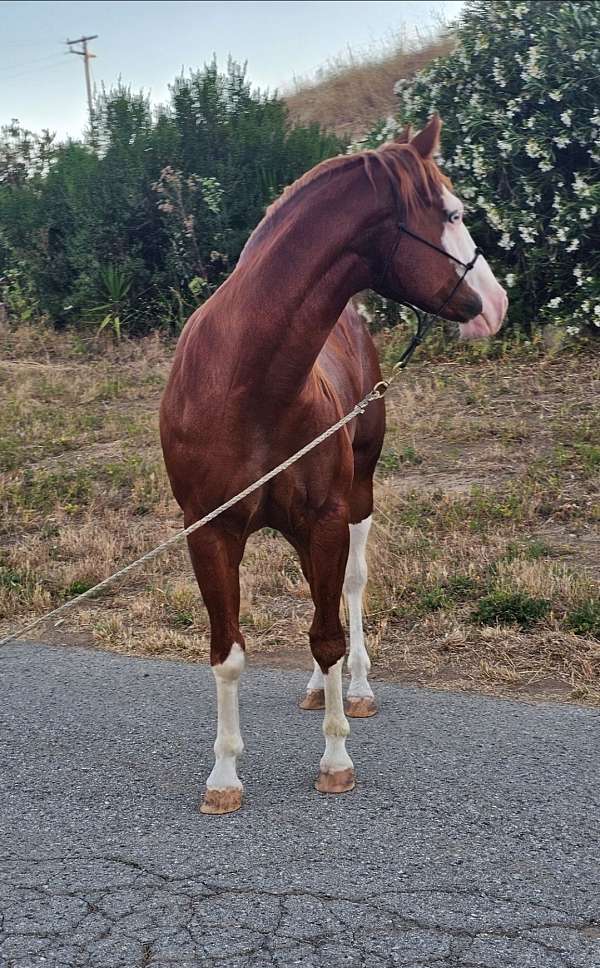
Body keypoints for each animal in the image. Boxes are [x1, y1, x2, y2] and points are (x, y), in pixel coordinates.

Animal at [160, 115, 508, 814]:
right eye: (453, 213)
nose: (497, 303)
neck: (249, 383)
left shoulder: (326, 518)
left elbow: (328, 634)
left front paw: (336, 758)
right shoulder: (209, 532)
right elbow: (227, 651)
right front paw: (224, 775)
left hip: (357, 499)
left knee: (349, 589)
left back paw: (355, 687)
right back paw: (324, 687)